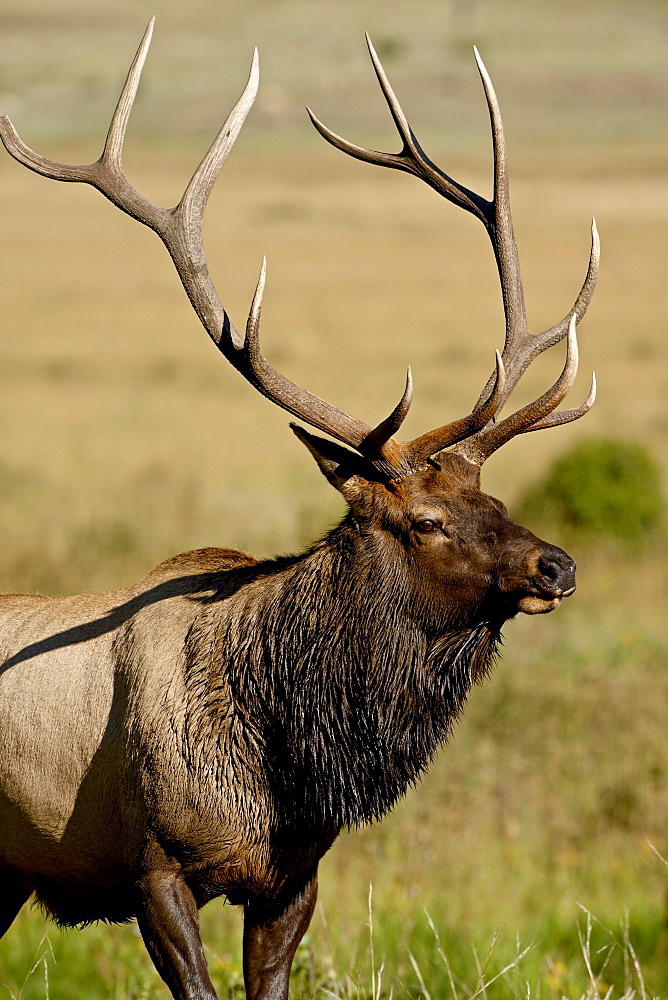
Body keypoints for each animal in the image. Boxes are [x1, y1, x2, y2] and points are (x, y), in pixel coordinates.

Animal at [0, 21, 596, 1000]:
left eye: (495, 497)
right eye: (424, 520)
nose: (558, 565)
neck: (282, 760)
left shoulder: (292, 876)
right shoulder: (153, 866)